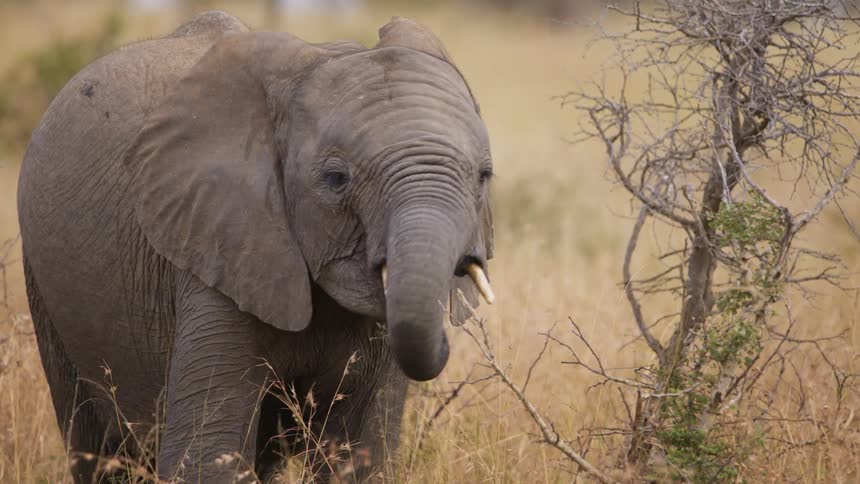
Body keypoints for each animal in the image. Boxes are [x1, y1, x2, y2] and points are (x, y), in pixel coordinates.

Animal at [17, 11, 494, 483]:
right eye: (336, 179)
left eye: (484, 176)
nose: (450, 345)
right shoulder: (220, 242)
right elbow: (207, 455)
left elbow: (361, 454)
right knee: (95, 446)